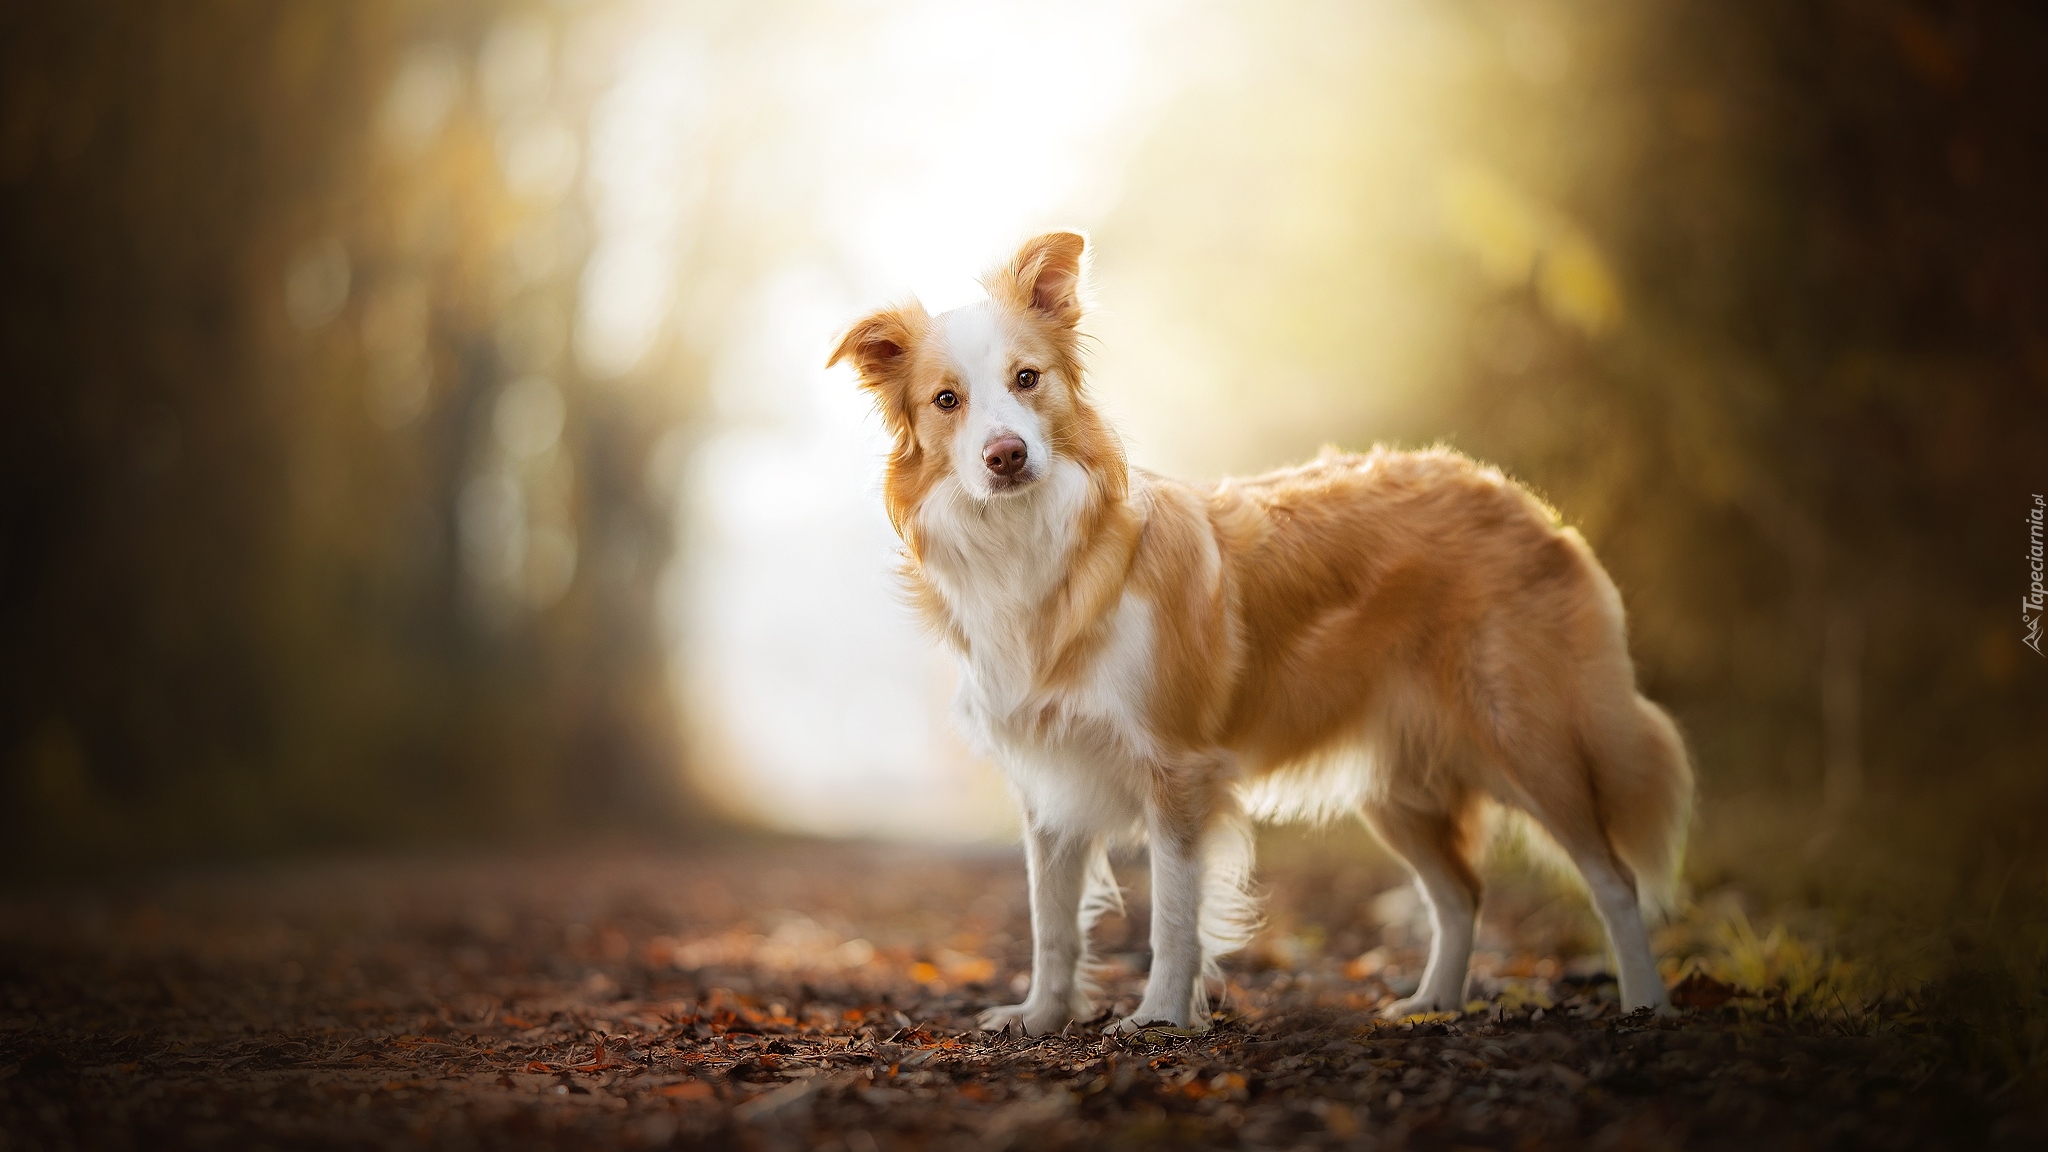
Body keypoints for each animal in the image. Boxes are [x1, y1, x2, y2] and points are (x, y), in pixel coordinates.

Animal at [823, 228, 1687, 1024]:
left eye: (1026, 379)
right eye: (947, 401)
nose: (1006, 455)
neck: (1033, 547)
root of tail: (1517, 498)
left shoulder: (1176, 768)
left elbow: (1173, 917)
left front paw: (1159, 1019)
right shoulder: (1050, 781)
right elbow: (1052, 923)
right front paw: (1041, 1018)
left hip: (1530, 739)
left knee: (1613, 876)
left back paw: (1645, 1003)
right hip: (1396, 783)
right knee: (1460, 894)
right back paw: (1433, 1003)